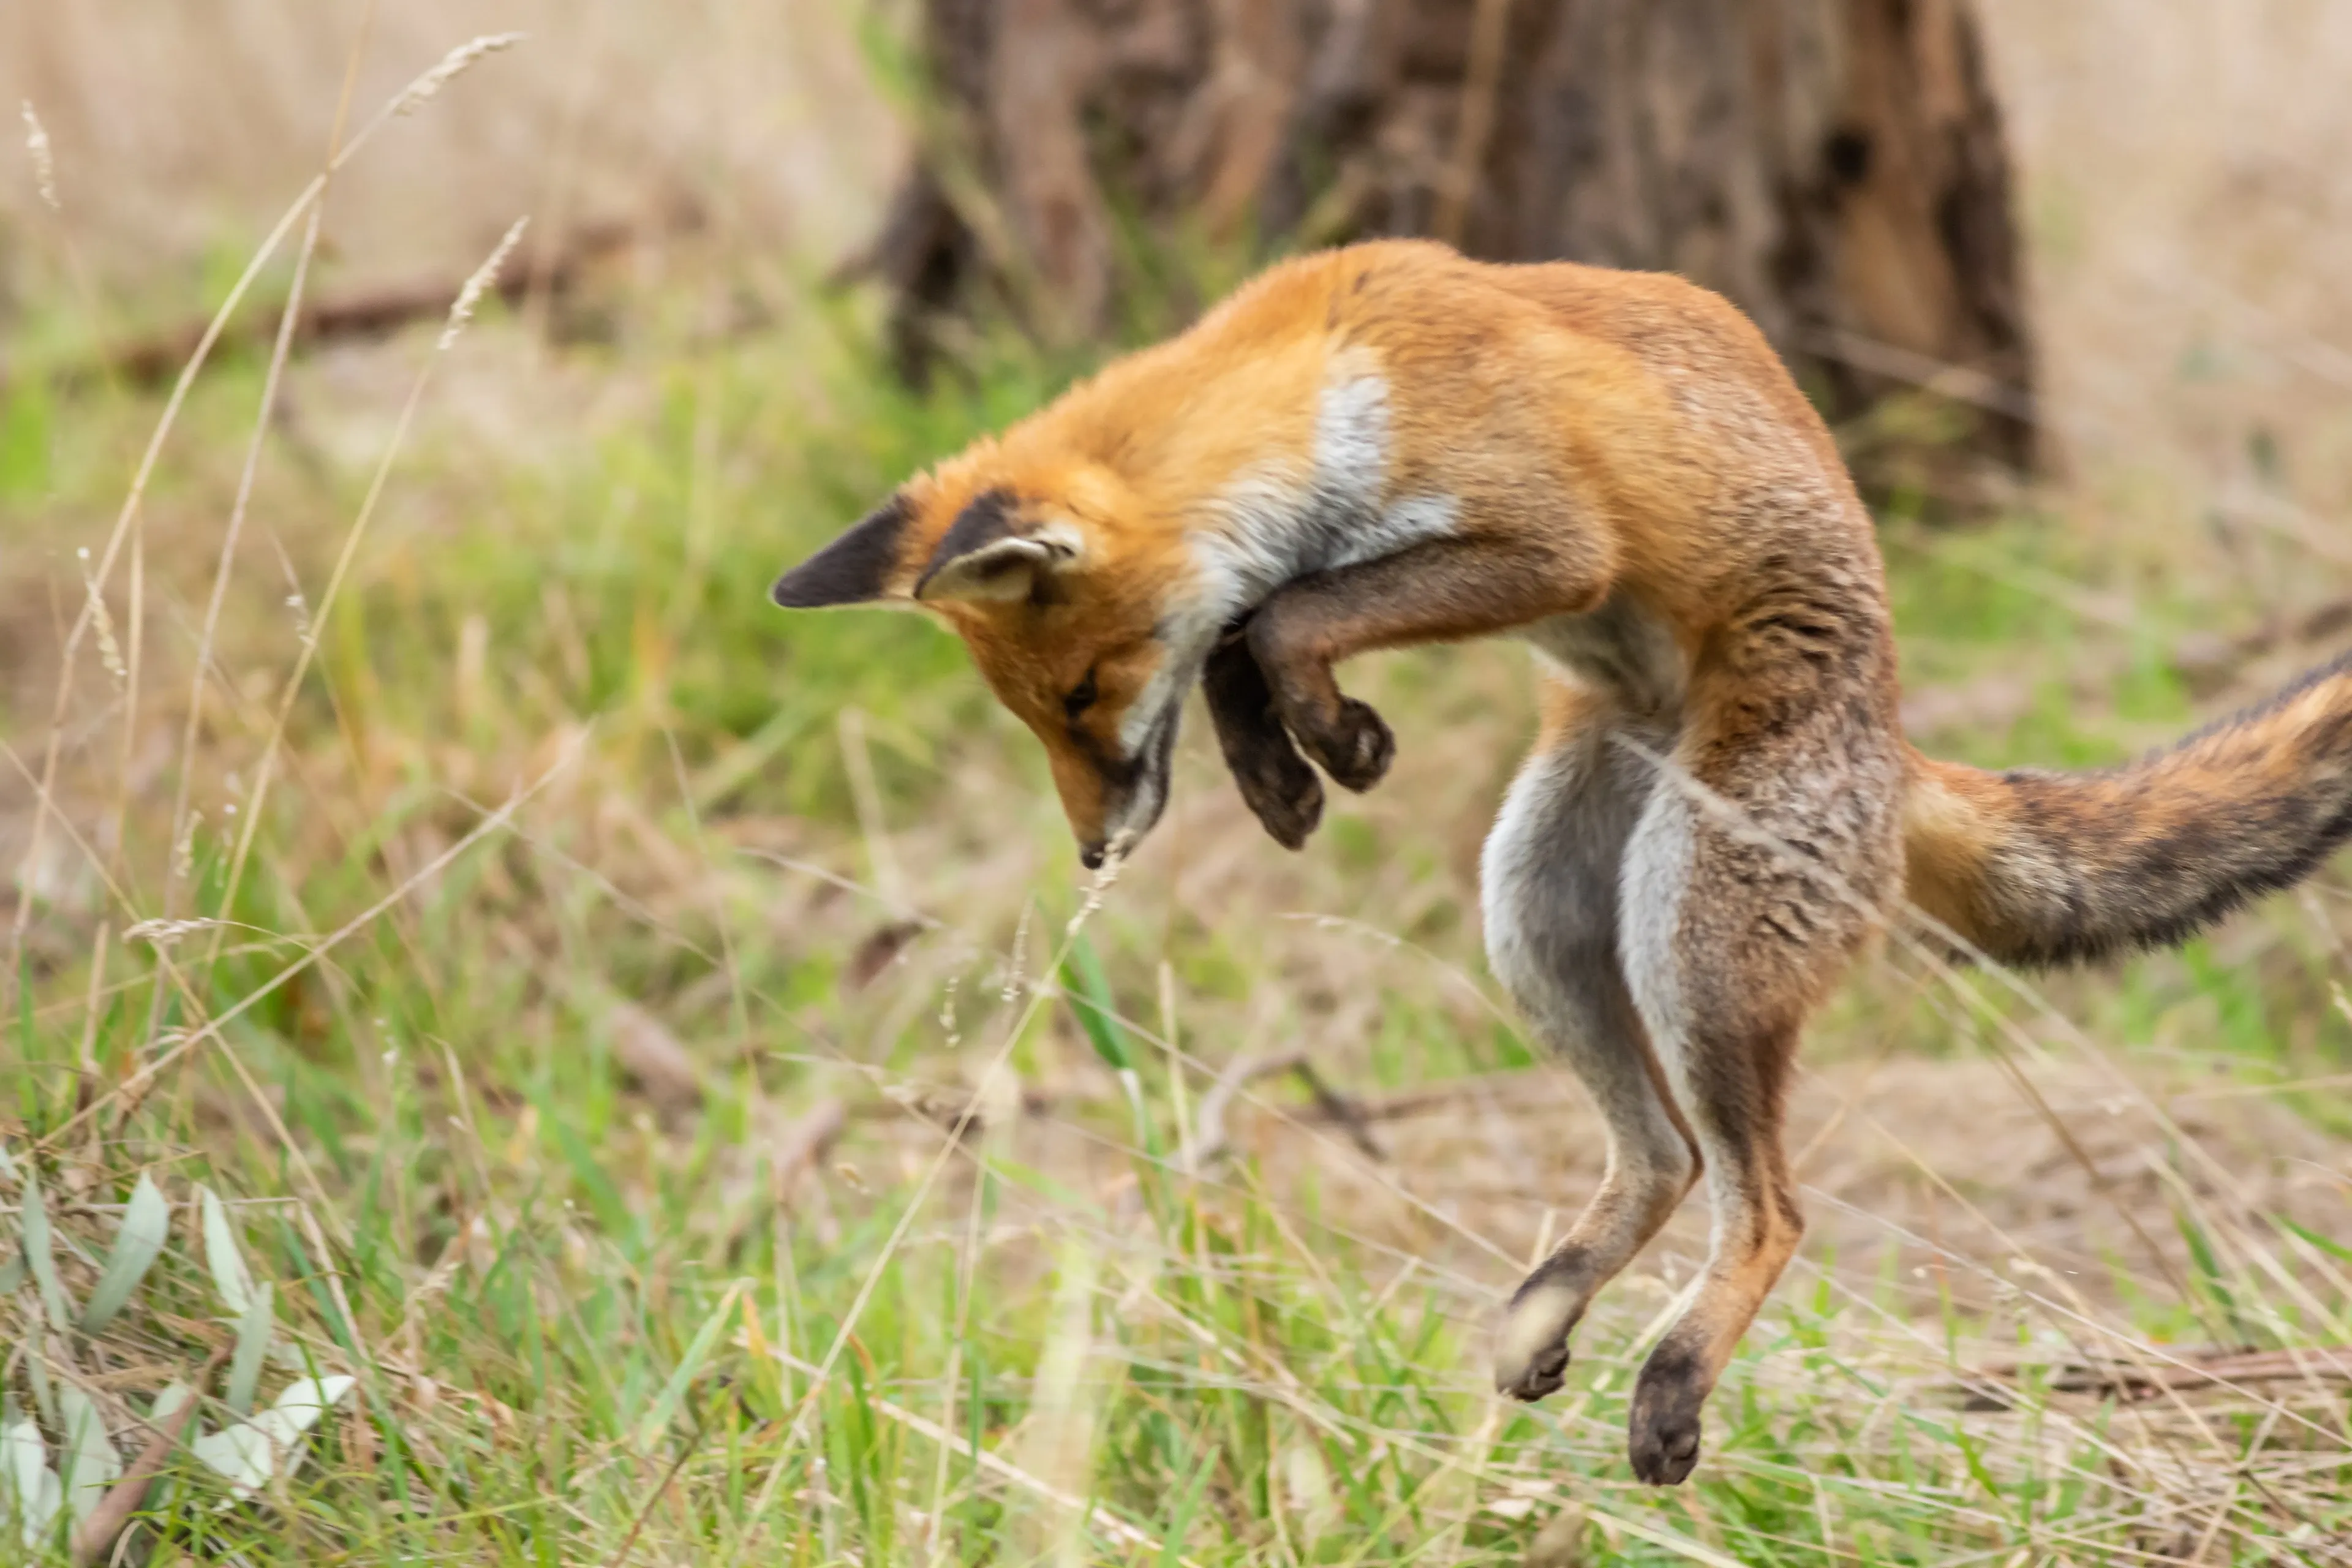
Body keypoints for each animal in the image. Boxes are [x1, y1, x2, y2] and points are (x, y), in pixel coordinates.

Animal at [769, 238, 2352, 1485]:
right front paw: (1288, 766)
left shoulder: (1549, 537)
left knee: (1766, 1203)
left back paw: (1673, 1380)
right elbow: (1250, 623)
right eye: (1034, 714)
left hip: (1691, 930)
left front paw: (1317, 741)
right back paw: (1547, 1315)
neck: (1330, 377)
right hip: (1536, 912)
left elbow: (1278, 611)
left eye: (1087, 690)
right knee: (1659, 1159)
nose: (1096, 843)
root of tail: (1895, 748)